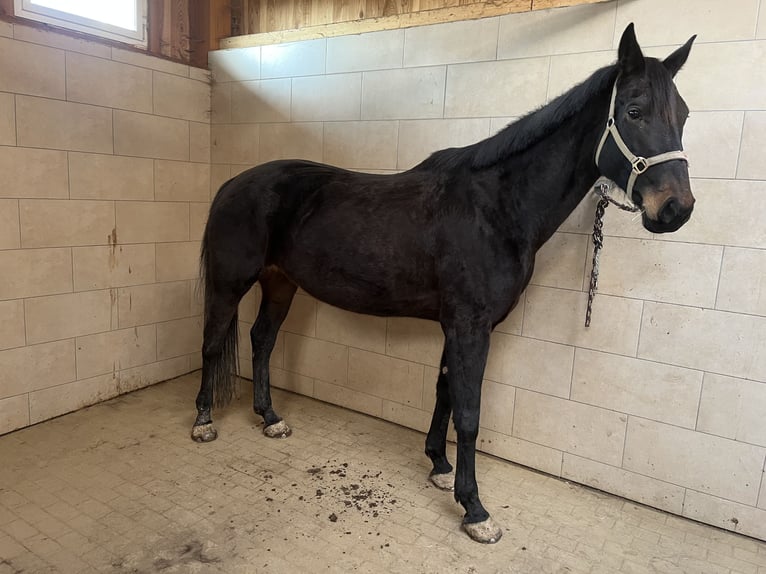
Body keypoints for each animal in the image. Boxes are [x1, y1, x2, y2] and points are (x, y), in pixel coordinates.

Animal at [192, 24, 696, 543]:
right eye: (634, 111)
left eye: (683, 114)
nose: (675, 209)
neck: (497, 207)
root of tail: (232, 184)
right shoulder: (469, 325)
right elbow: (469, 412)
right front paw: (474, 508)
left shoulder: (457, 324)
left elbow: (445, 391)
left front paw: (438, 466)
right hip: (231, 282)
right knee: (212, 342)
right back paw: (204, 421)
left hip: (280, 283)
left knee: (262, 340)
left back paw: (270, 418)